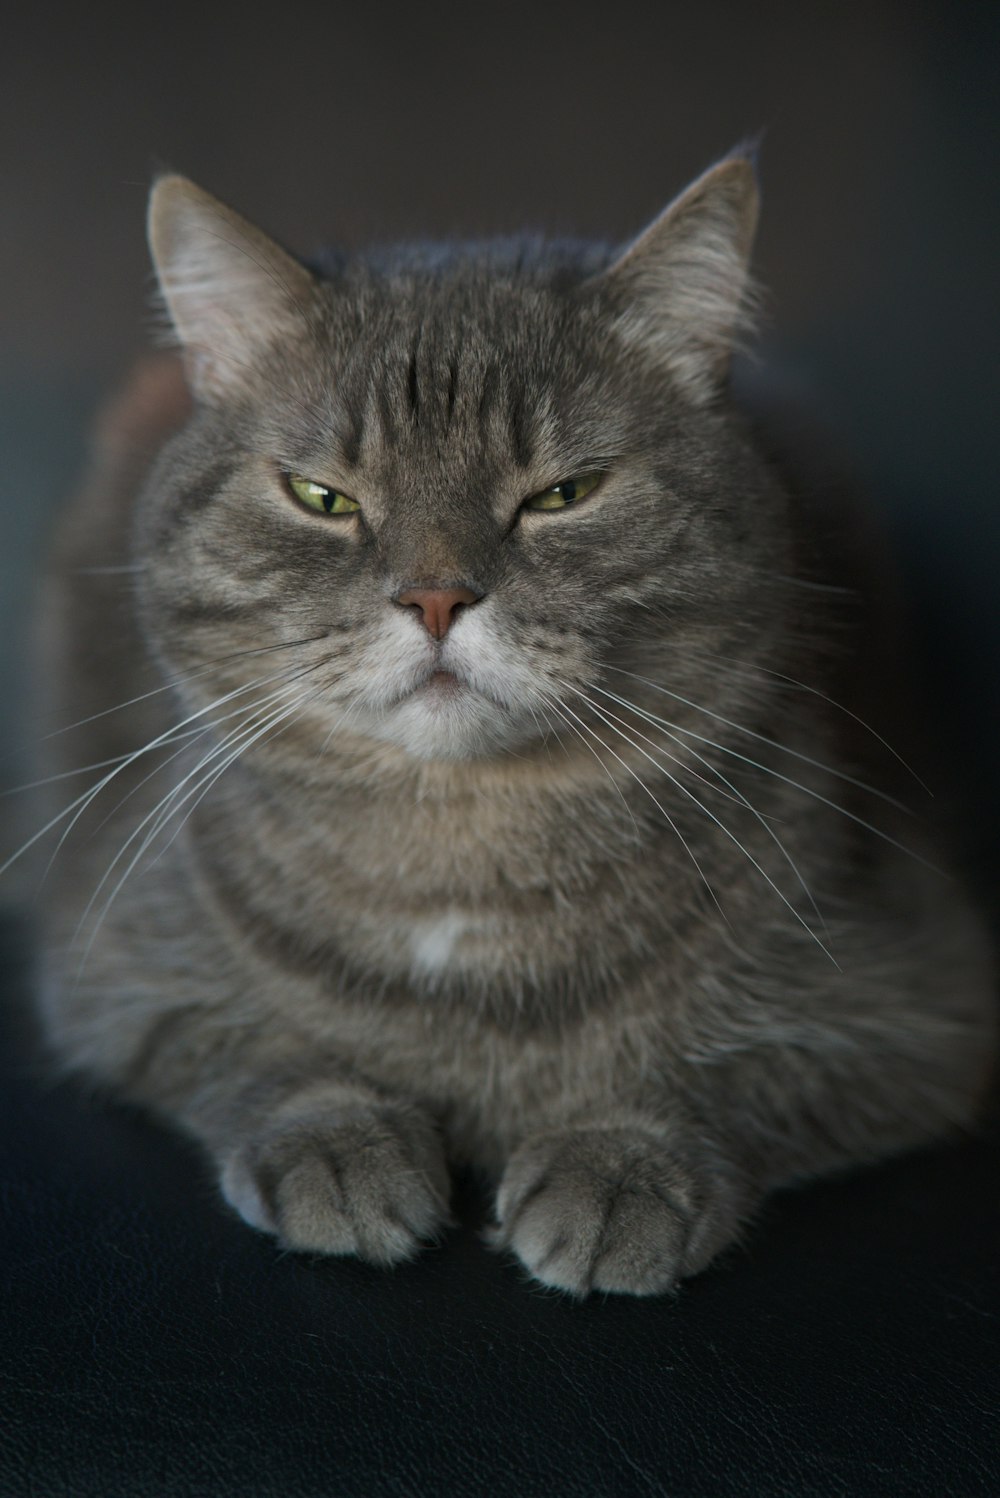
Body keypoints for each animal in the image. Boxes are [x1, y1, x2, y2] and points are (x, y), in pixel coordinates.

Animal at [27, 158, 994, 1294]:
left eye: (564, 494)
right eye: (322, 497)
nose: (437, 597)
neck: (461, 855)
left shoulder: (922, 1009)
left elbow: (729, 1079)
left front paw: (620, 1164)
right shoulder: (111, 971)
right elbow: (255, 1053)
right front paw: (340, 1140)